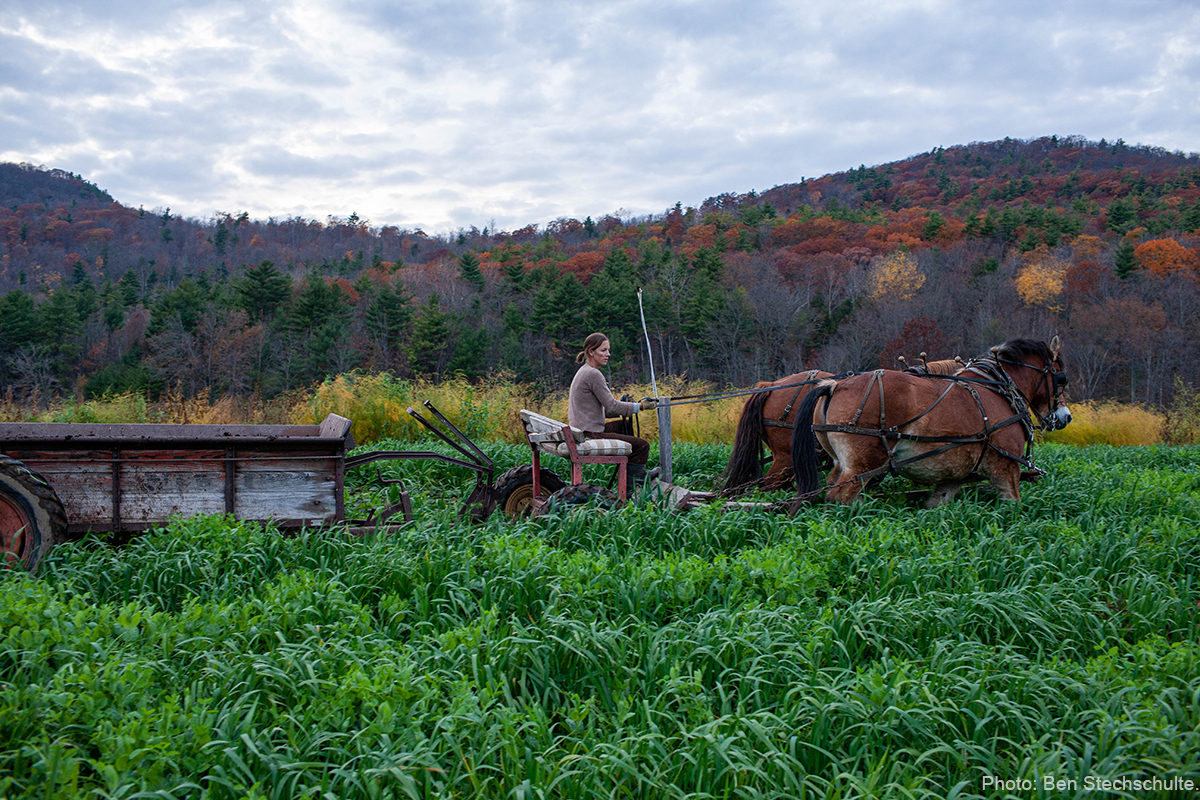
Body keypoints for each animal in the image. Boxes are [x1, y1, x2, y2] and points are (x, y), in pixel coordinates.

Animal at [792, 338, 1075, 506]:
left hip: (843, 464)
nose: (1066, 416)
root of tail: (835, 385)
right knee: (838, 499)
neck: (998, 390)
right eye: (1060, 377)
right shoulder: (1006, 469)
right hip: (861, 467)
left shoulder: (952, 477)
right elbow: (1013, 508)